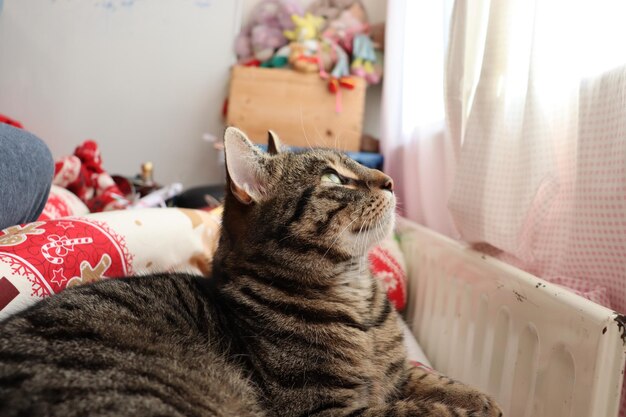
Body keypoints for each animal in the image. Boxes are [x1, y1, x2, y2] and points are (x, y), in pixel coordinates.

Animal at [0, 127, 500, 416]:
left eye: (358, 163)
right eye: (333, 178)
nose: (391, 181)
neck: (353, 290)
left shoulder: (397, 374)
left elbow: (430, 379)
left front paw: (478, 397)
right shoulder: (327, 410)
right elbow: (419, 411)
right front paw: (465, 410)